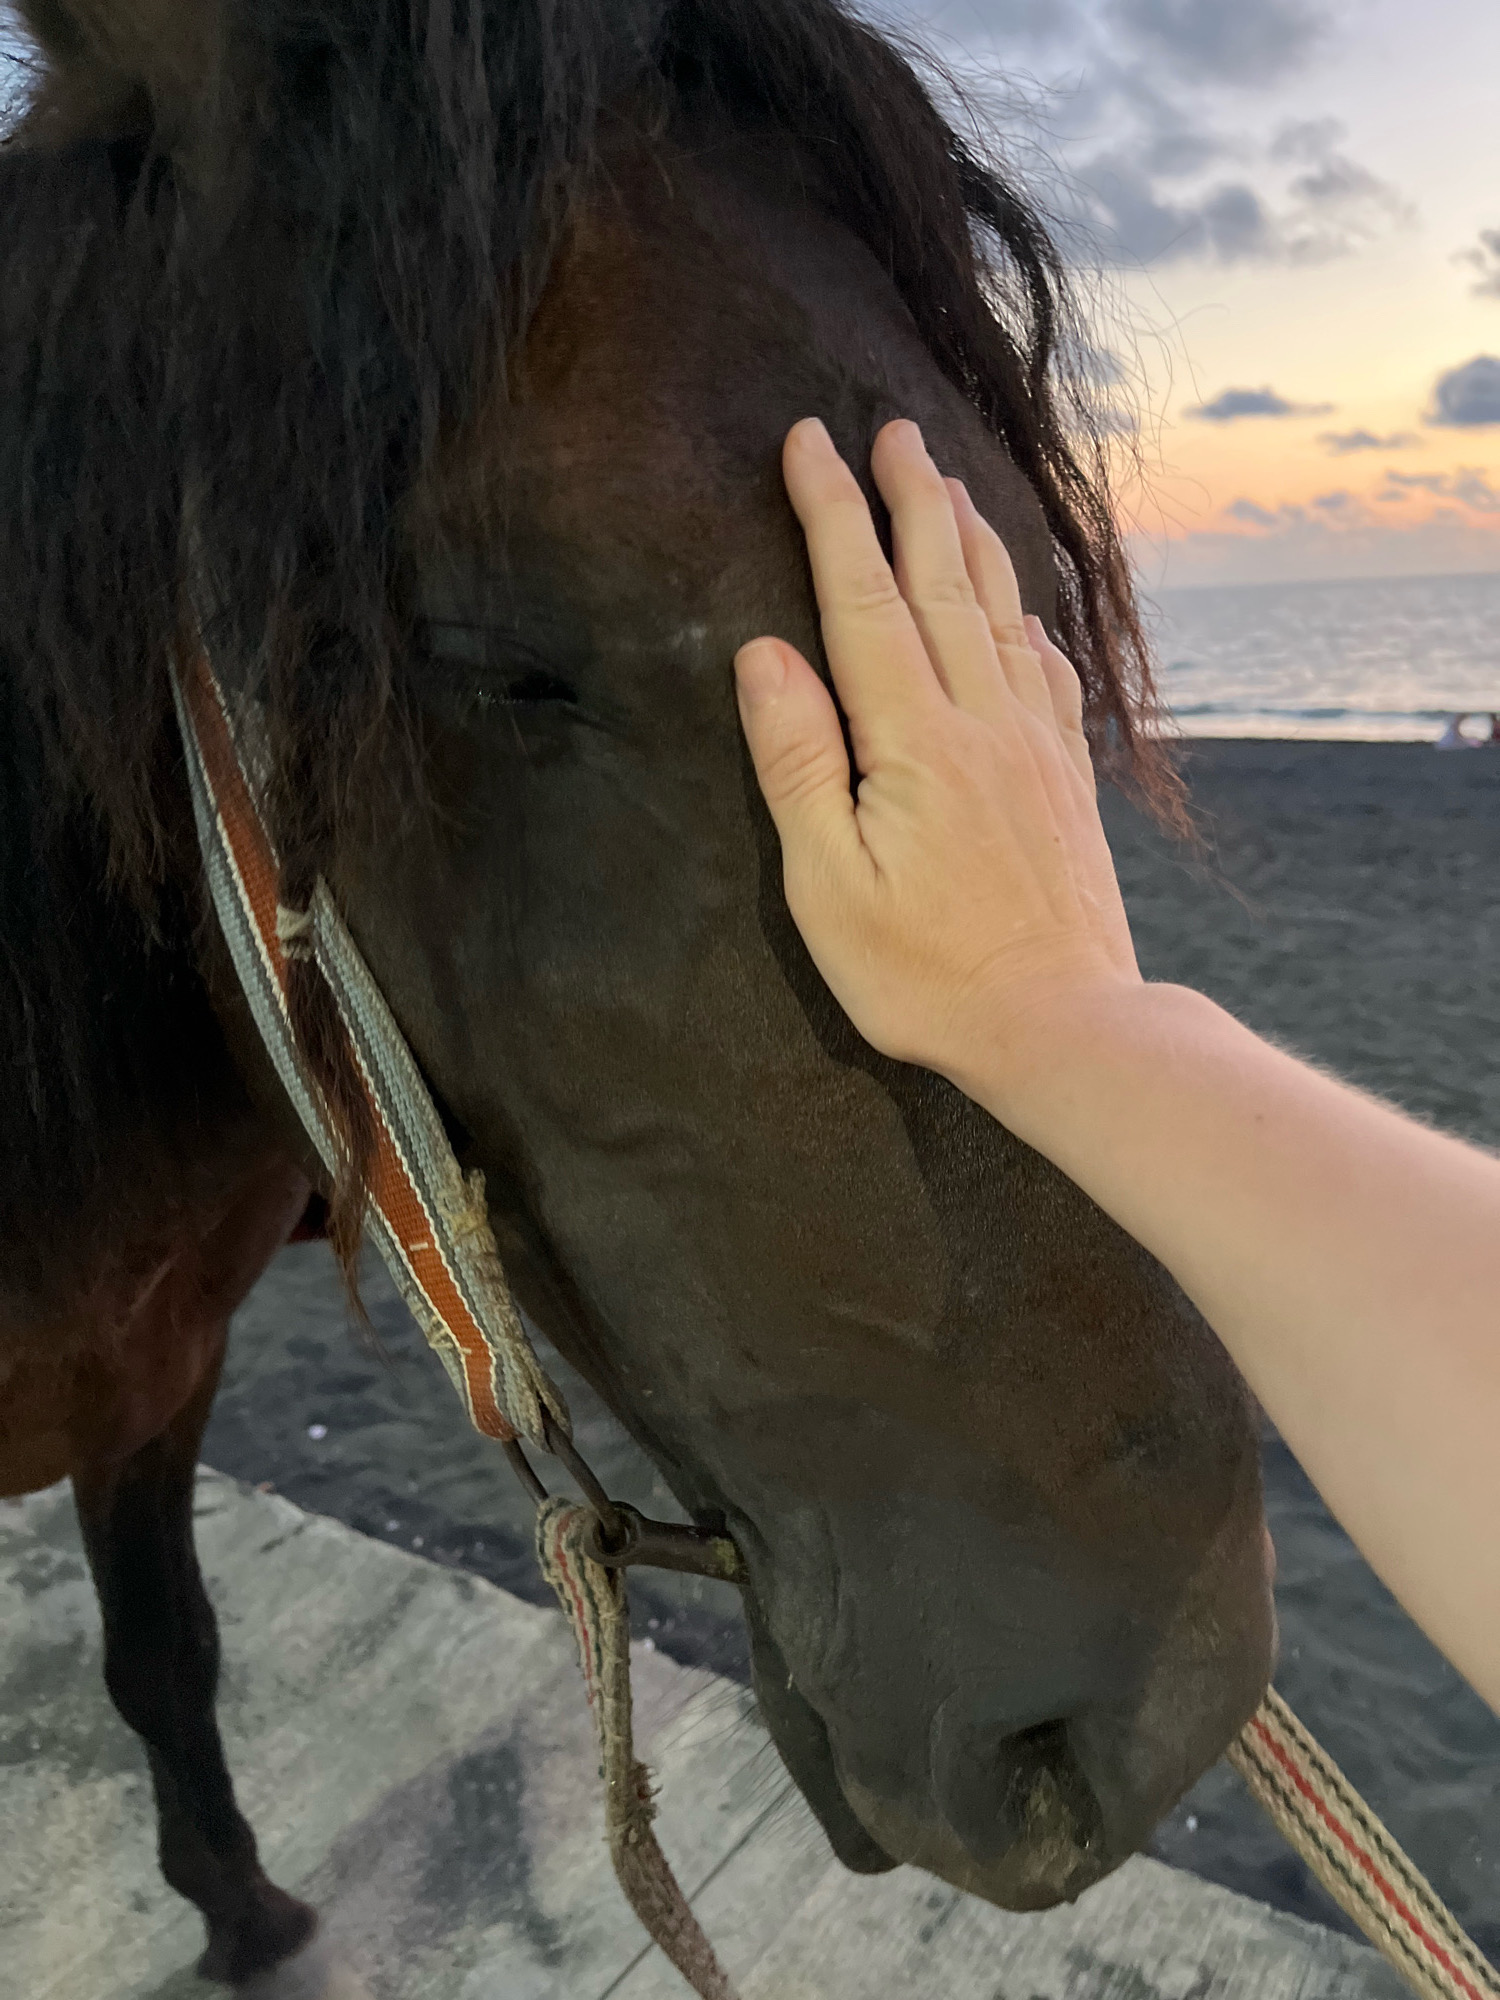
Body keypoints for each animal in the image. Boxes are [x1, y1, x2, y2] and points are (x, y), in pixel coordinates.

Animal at [0, 1, 1275, 1986]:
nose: (1163, 1696)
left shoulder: (156, 1378)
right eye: (496, 663)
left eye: (1008, 570)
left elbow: (164, 1650)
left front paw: (239, 1905)